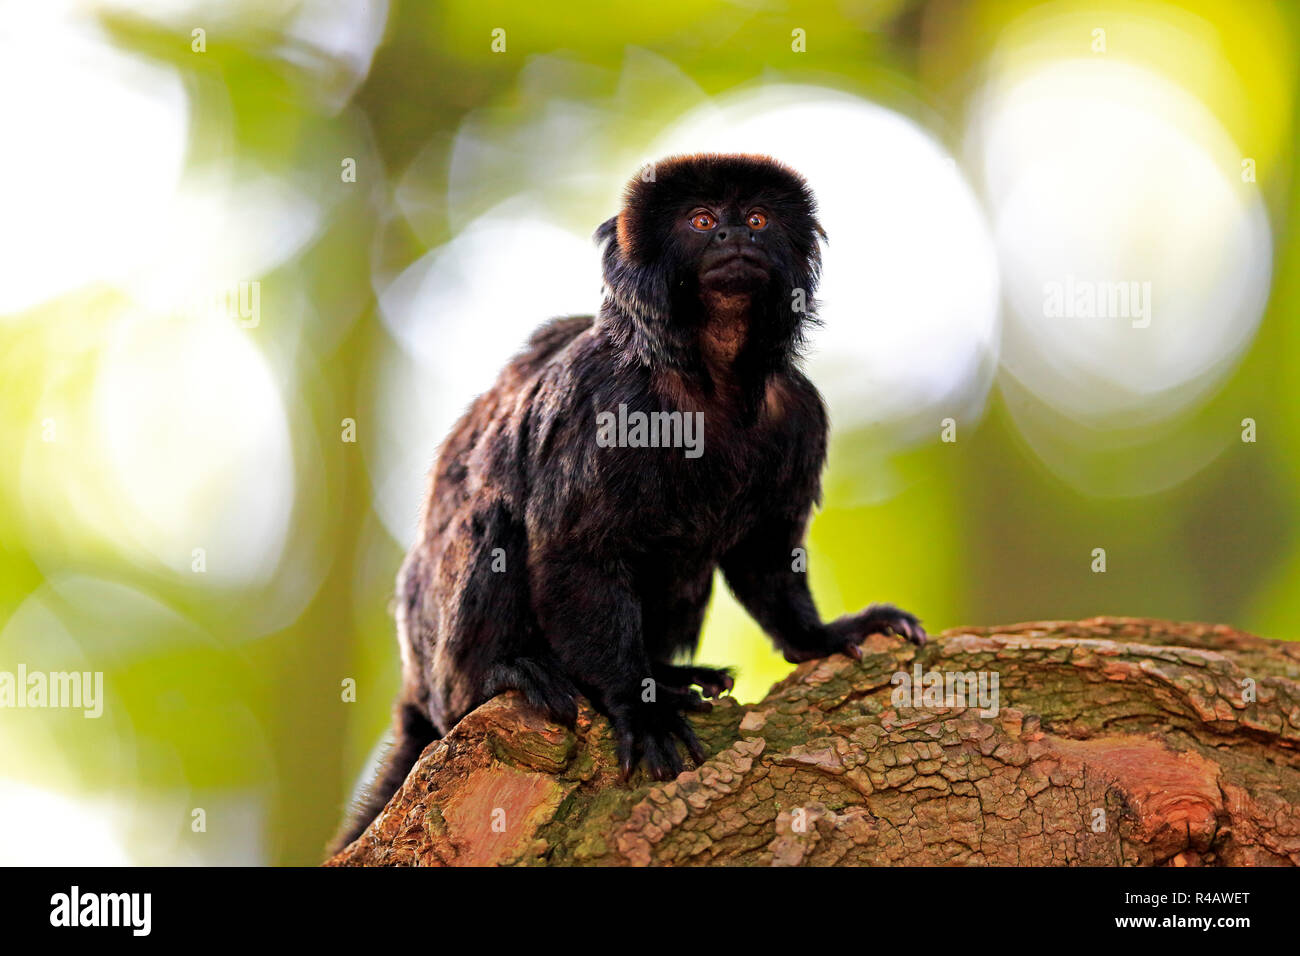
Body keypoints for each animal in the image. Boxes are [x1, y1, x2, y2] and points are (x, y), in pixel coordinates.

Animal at [332, 155, 925, 853]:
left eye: (757, 219)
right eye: (702, 221)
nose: (735, 237)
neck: (711, 380)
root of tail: (417, 684)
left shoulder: (798, 411)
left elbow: (765, 553)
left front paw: (822, 635)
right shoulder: (603, 400)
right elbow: (574, 551)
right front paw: (636, 705)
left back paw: (670, 673)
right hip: (440, 662)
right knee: (493, 519)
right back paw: (508, 674)